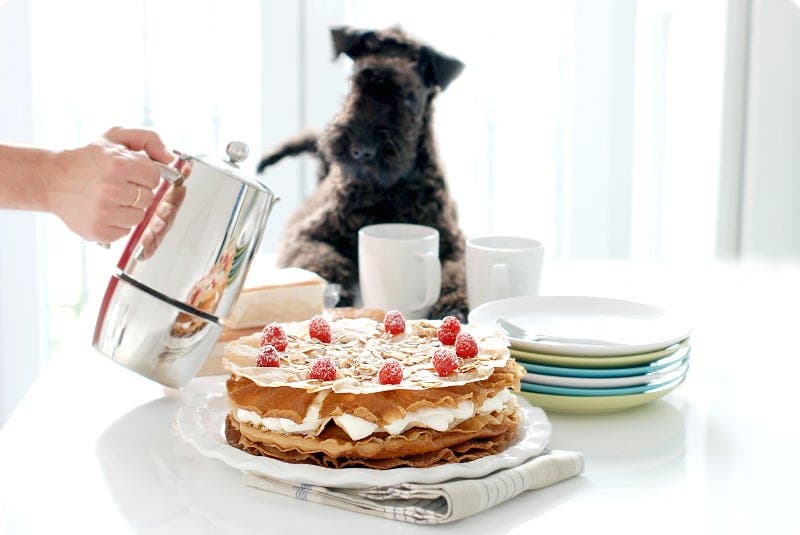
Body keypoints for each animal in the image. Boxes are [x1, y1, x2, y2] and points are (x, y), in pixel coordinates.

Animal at [256, 26, 468, 318]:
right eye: (355, 82)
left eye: (409, 97)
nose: (362, 149)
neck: (388, 190)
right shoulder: (307, 235)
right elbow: (320, 258)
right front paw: (336, 289)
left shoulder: (453, 244)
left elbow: (457, 271)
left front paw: (455, 303)